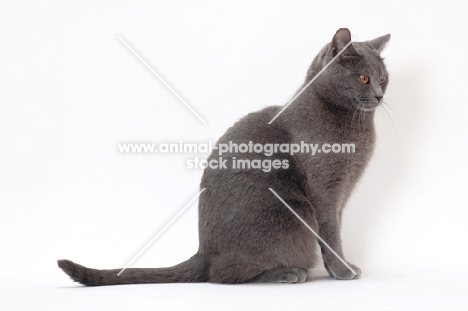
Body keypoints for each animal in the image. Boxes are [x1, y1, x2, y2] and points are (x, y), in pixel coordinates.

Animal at [58, 28, 392, 286]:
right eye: (364, 78)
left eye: (384, 79)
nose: (379, 95)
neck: (355, 127)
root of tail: (203, 252)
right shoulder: (324, 190)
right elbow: (331, 233)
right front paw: (343, 271)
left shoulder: (343, 193)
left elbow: (335, 230)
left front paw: (341, 268)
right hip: (289, 217)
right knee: (222, 274)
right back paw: (287, 273)